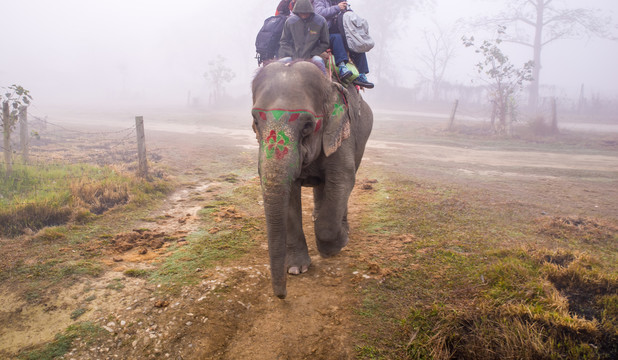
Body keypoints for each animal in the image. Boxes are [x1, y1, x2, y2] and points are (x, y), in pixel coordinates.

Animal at [249, 61, 370, 298]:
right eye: (255, 121)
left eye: (307, 126)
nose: (282, 296)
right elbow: (289, 193)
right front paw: (296, 269)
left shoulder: (342, 136)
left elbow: (343, 179)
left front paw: (338, 245)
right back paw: (315, 215)